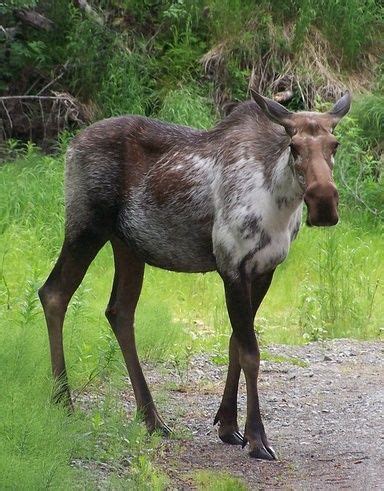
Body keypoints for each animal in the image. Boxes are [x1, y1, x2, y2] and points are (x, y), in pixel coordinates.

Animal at [39, 91, 352, 462]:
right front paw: (257, 438)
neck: (280, 203)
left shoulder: (265, 269)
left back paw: (151, 418)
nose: (324, 202)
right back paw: (63, 400)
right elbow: (250, 352)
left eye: (334, 144)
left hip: (127, 244)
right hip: (86, 226)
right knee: (53, 293)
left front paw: (228, 425)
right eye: (294, 146)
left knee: (119, 311)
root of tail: (71, 145)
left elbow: (235, 343)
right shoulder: (232, 264)